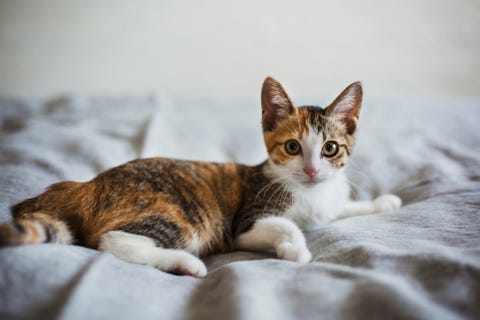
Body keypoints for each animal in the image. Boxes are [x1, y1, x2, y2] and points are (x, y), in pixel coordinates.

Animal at [0, 77, 402, 278]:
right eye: (291, 147)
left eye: (330, 149)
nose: (312, 170)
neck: (309, 194)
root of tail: (86, 185)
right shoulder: (244, 224)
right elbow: (286, 225)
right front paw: (296, 248)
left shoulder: (327, 202)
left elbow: (343, 208)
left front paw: (385, 201)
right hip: (185, 216)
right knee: (113, 241)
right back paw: (185, 263)